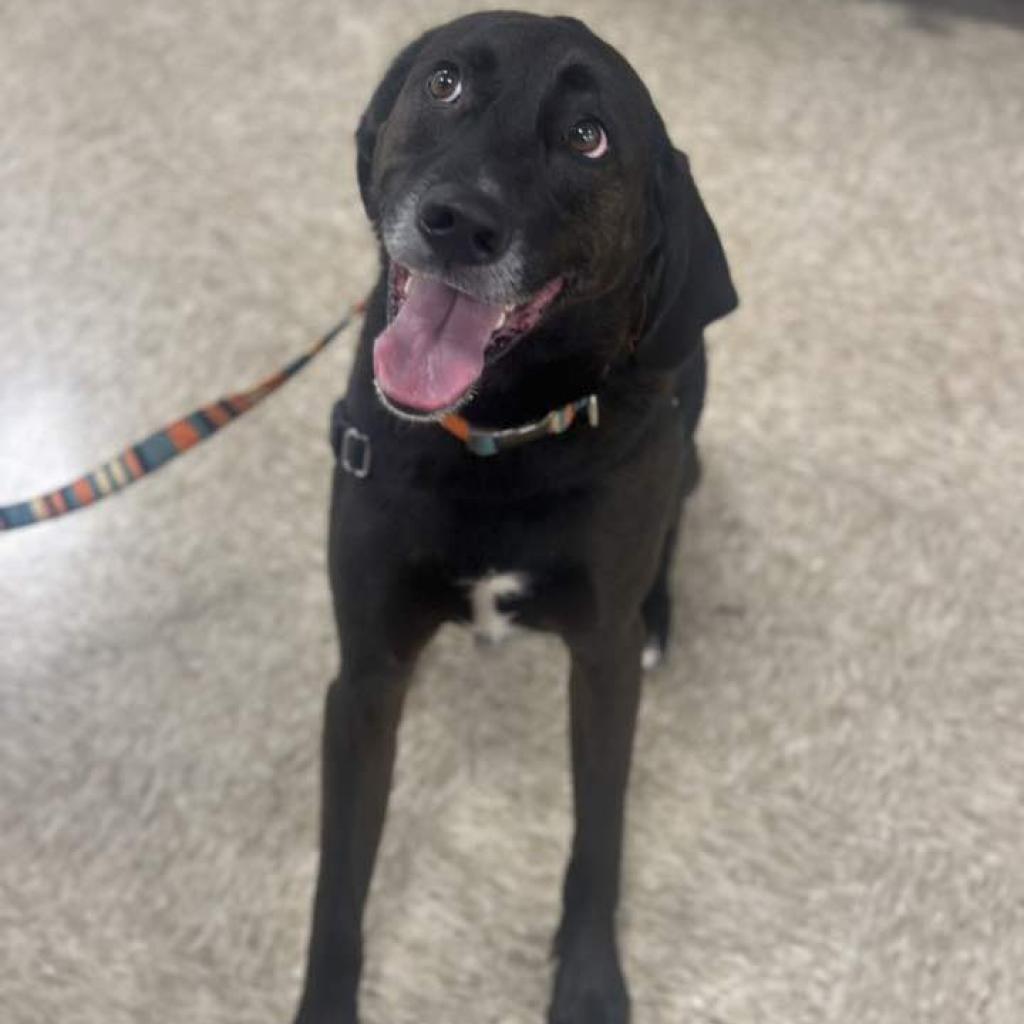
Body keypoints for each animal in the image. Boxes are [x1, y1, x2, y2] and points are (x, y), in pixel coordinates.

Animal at [294, 9, 737, 1024]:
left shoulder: (602, 663)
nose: (459, 222)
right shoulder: (366, 677)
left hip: (683, 458)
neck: (495, 439)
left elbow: (599, 831)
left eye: (588, 136)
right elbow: (340, 879)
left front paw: (590, 981)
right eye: (445, 81)